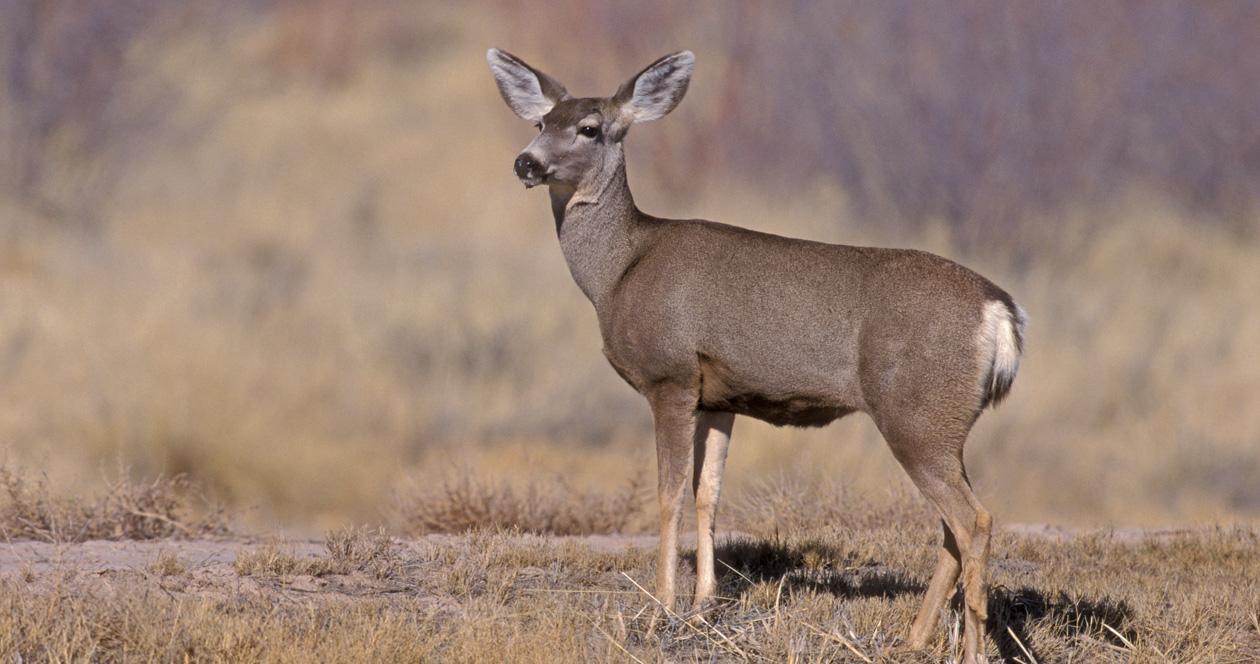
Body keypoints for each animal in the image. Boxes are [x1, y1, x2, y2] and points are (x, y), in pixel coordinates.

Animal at [487, 48, 1025, 664]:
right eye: (539, 122)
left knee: (973, 519)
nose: (526, 163)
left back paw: (971, 647)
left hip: (916, 412)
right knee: (952, 525)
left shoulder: (670, 376)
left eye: (590, 128)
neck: (619, 271)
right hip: (942, 423)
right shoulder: (719, 397)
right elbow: (709, 495)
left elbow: (668, 494)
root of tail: (1000, 312)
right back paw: (913, 638)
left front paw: (662, 607)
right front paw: (702, 606)